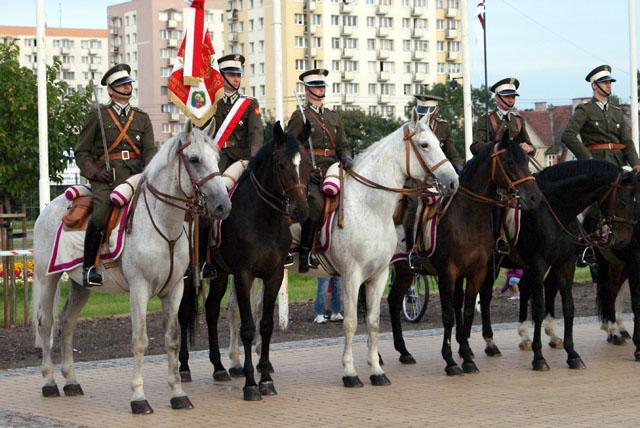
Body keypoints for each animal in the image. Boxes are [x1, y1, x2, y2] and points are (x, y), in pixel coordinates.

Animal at [32, 120, 231, 414]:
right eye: (194, 159)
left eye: (217, 159)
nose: (222, 206)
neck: (164, 225)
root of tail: (50, 205)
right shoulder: (140, 289)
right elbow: (140, 341)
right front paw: (138, 397)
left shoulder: (174, 289)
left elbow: (172, 339)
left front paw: (178, 393)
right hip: (49, 278)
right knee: (46, 324)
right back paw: (49, 382)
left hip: (81, 285)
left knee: (67, 323)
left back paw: (71, 381)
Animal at [179, 121, 312, 402]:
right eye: (281, 165)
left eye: (306, 163)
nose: (301, 211)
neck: (263, 219)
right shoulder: (243, 275)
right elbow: (248, 327)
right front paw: (251, 383)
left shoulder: (274, 275)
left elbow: (266, 325)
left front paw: (266, 379)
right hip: (186, 276)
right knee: (184, 313)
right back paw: (183, 367)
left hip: (218, 274)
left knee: (211, 309)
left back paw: (218, 367)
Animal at [228, 115, 458, 386]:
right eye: (424, 145)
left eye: (439, 143)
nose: (453, 180)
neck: (369, 206)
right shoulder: (351, 275)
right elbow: (350, 322)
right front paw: (350, 372)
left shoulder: (378, 275)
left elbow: (373, 322)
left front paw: (376, 370)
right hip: (245, 273)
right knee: (235, 310)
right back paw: (234, 364)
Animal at [388, 135, 544, 374]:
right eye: (509, 162)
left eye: (526, 160)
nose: (535, 197)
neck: (467, 216)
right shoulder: (448, 274)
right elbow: (449, 315)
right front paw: (450, 360)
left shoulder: (476, 272)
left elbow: (468, 310)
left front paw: (467, 356)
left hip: (405, 272)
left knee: (394, 302)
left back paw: (404, 352)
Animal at [480, 160, 636, 372]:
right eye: (622, 202)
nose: (623, 240)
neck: (556, 209)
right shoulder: (539, 263)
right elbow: (538, 308)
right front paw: (539, 358)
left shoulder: (564, 263)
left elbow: (568, 306)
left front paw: (572, 354)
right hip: (491, 264)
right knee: (485, 295)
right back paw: (490, 342)